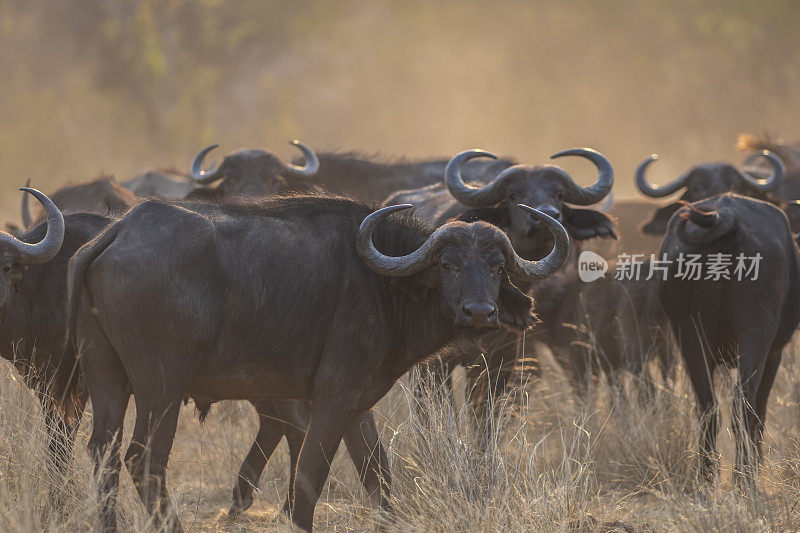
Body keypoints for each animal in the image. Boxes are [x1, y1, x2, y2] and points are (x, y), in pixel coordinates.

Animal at [64, 194, 568, 528]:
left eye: (497, 267)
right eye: (447, 266)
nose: (480, 312)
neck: (383, 285)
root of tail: (119, 231)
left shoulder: (358, 403)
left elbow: (377, 473)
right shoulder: (333, 396)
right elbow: (310, 473)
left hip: (107, 381)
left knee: (103, 454)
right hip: (162, 386)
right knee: (144, 459)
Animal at [656, 193, 800, 484]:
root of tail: (726, 216)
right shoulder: (774, 354)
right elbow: (759, 412)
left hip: (689, 335)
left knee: (707, 408)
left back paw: (705, 477)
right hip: (755, 333)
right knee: (743, 407)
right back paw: (744, 479)